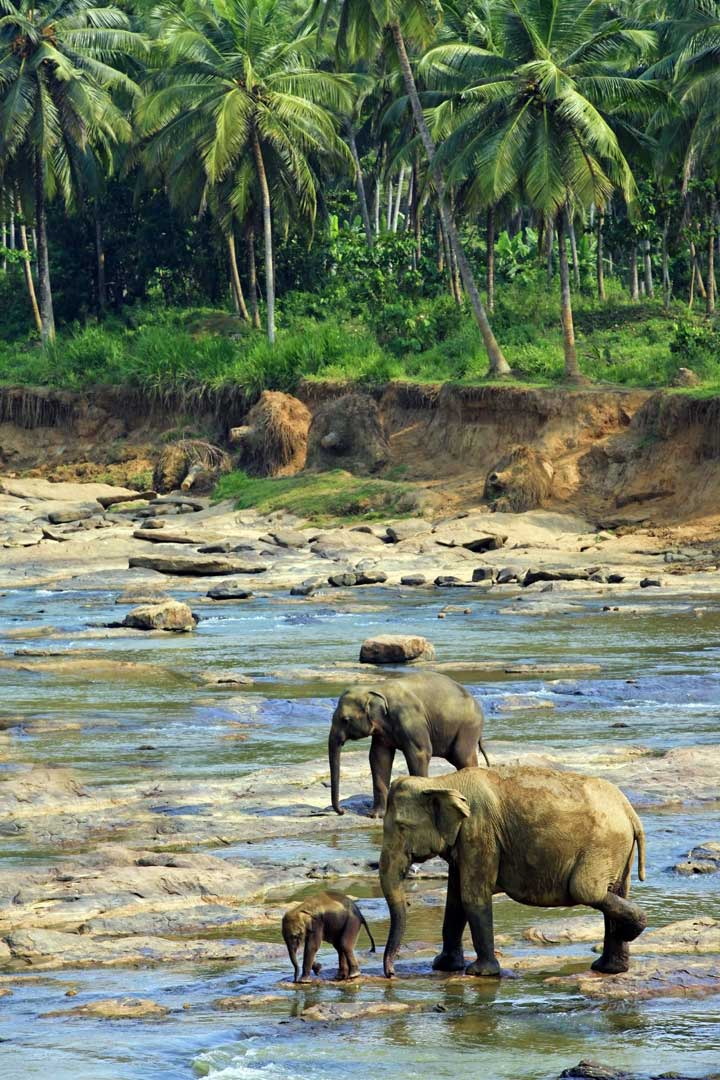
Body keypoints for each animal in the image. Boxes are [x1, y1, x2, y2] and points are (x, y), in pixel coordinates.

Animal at [328, 665, 490, 816]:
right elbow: (378, 757)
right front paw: (375, 815)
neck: (376, 688)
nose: (342, 811)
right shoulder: (382, 732)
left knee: (462, 757)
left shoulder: (411, 720)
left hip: (468, 727)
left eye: (345, 720)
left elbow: (419, 753)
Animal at [379, 764, 651, 984]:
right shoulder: (465, 842)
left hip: (603, 846)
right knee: (614, 891)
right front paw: (444, 965)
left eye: (402, 827)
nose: (391, 974)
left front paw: (479, 972)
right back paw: (611, 967)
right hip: (618, 851)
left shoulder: (479, 832)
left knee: (586, 890)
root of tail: (629, 811)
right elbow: (454, 900)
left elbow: (472, 896)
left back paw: (632, 929)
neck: (443, 782)